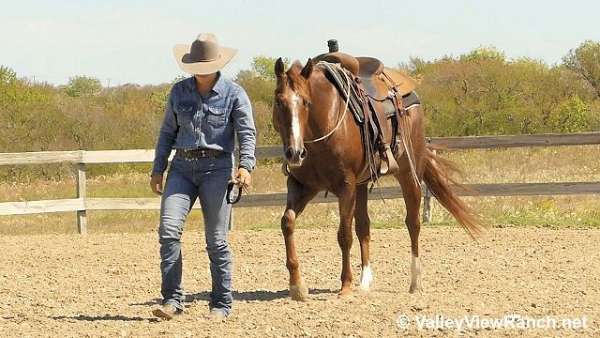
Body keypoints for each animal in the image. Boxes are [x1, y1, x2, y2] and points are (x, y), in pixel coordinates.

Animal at [274, 58, 482, 302]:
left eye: (306, 102)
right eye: (279, 101)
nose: (295, 153)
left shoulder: (346, 186)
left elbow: (344, 235)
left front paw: (345, 285)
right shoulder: (302, 186)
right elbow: (287, 222)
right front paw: (296, 285)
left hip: (409, 174)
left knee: (413, 223)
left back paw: (415, 281)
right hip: (362, 185)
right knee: (364, 226)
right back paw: (365, 281)